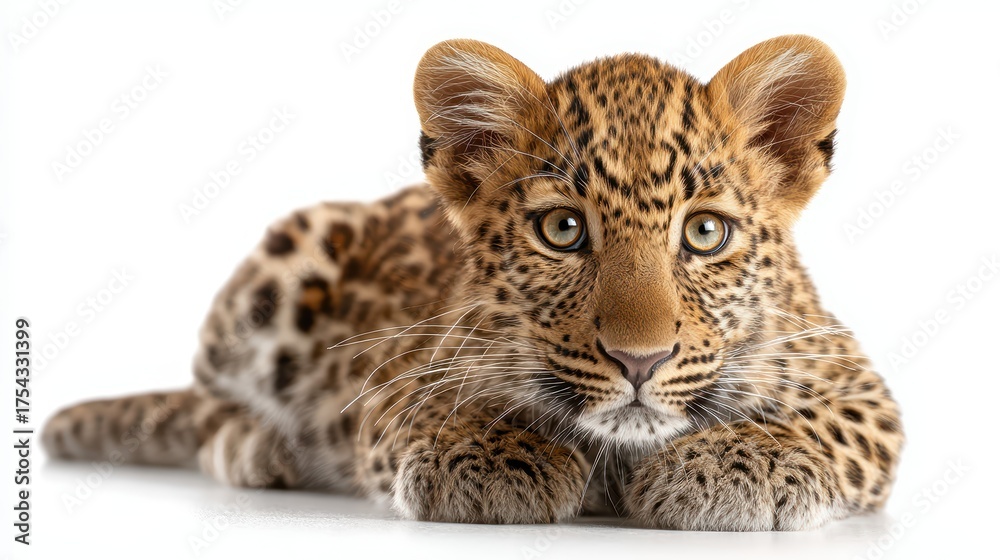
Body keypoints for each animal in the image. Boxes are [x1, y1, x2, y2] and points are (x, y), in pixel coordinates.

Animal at [43, 35, 903, 531]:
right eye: (563, 230)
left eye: (704, 233)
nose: (640, 361)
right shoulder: (397, 376)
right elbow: (432, 414)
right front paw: (495, 460)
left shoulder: (862, 389)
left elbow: (822, 424)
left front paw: (733, 464)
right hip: (279, 266)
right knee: (209, 401)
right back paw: (258, 446)